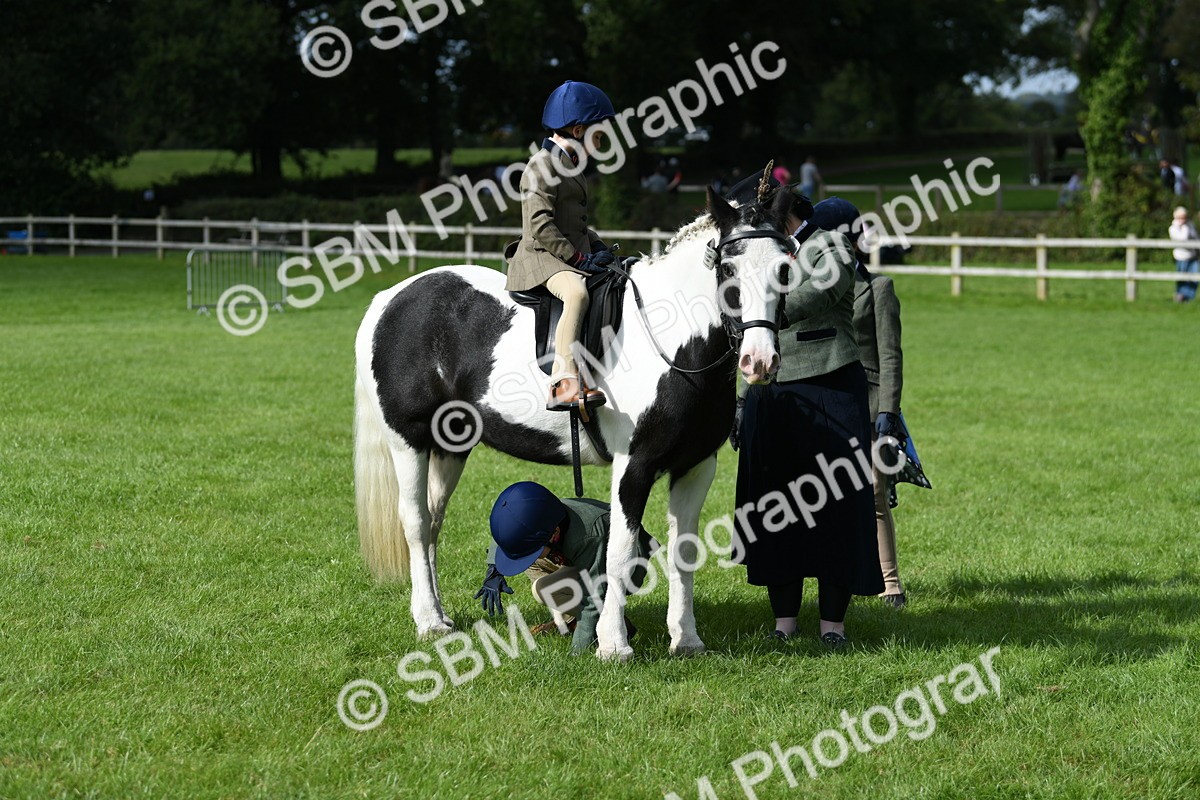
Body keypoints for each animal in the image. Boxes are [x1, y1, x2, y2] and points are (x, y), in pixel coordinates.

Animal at [352, 185, 796, 661]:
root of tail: (390, 299)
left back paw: (438, 611)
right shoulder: (633, 466)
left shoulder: (696, 467)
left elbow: (685, 552)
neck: (672, 344)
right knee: (417, 524)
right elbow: (620, 552)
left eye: (785, 267)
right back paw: (429, 621)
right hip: (409, 442)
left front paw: (686, 639)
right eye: (728, 268)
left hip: (452, 445)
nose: (759, 361)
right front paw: (614, 644)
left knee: (434, 521)